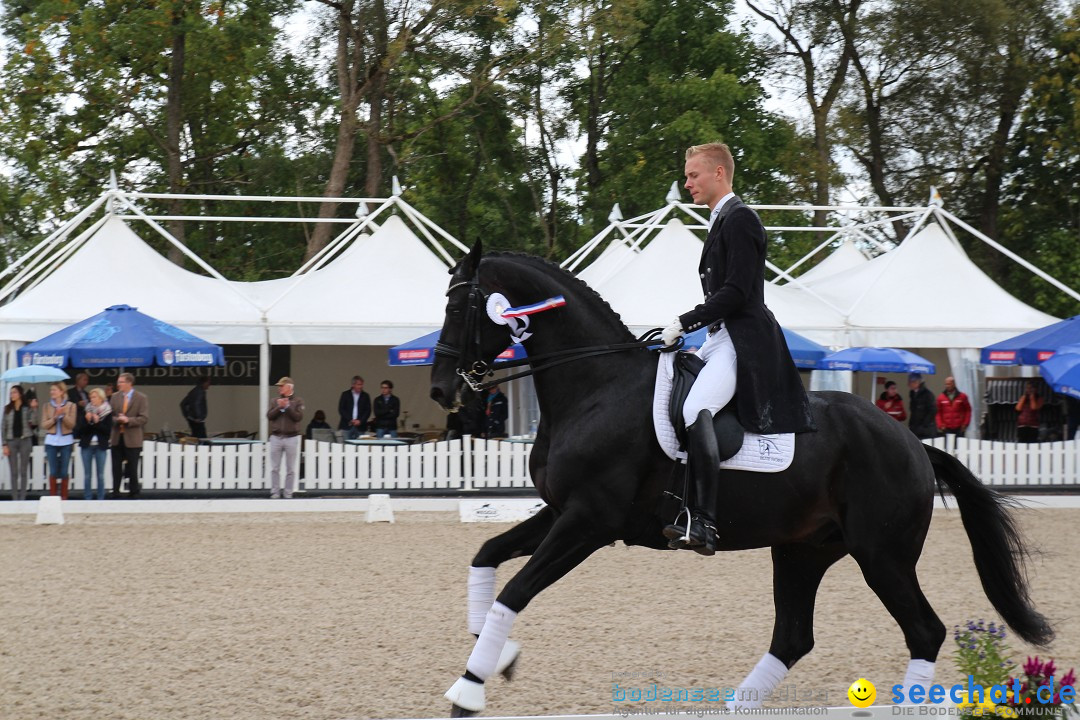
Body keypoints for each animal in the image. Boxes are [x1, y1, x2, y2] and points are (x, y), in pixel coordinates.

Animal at [427, 245, 1045, 716]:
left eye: (463, 303)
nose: (440, 388)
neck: (595, 385)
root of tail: (913, 442)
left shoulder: (588, 523)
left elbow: (513, 591)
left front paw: (468, 690)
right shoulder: (561, 513)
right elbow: (486, 555)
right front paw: (499, 657)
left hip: (882, 555)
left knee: (924, 632)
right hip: (803, 550)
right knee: (794, 637)